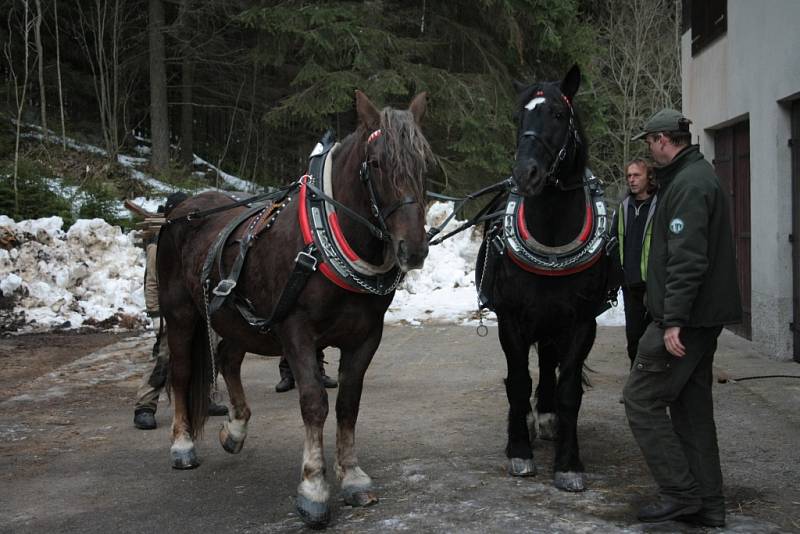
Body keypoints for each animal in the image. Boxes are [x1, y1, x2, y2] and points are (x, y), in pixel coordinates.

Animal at [156, 91, 432, 528]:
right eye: (375, 163)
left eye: (424, 163)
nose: (415, 248)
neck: (325, 240)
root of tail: (183, 209)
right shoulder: (296, 330)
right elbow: (315, 402)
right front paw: (314, 488)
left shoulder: (366, 335)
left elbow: (348, 403)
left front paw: (352, 477)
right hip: (182, 313)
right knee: (181, 372)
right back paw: (182, 445)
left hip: (240, 320)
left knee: (228, 358)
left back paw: (235, 430)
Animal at [478, 65, 616, 492]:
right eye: (518, 116)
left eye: (557, 114)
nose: (526, 174)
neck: (553, 235)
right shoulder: (511, 319)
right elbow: (517, 381)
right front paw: (519, 451)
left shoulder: (581, 322)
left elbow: (569, 388)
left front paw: (569, 463)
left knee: (550, 367)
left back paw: (548, 418)